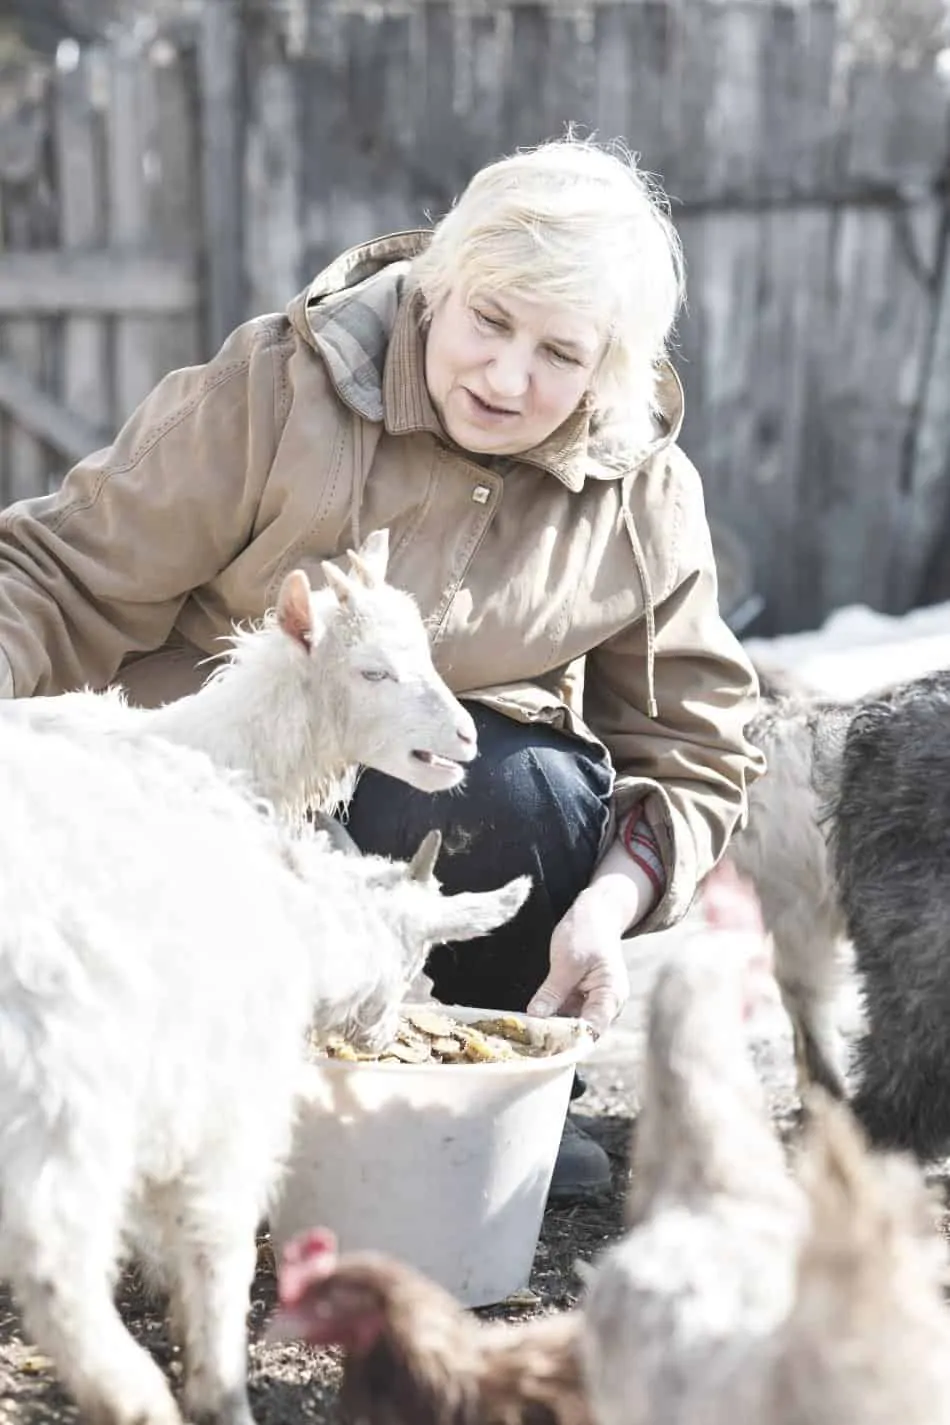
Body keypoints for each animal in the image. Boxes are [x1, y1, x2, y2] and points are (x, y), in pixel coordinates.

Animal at [0, 723, 526, 1425]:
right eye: (418, 954)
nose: (384, 1036)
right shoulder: (228, 1103)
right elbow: (220, 1245)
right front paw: (219, 1387)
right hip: (64, 1084)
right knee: (55, 1255)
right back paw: (134, 1396)